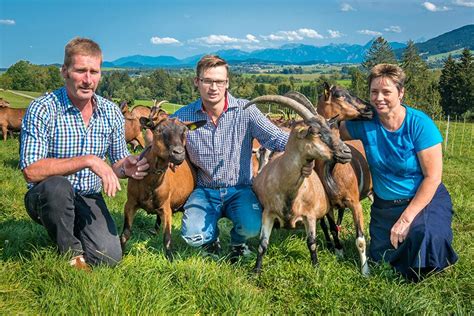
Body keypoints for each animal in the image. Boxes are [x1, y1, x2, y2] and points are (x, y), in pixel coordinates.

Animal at [119, 110, 205, 260]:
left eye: (185, 131)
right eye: (158, 130)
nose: (178, 153)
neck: (150, 183)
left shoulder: (166, 208)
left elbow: (167, 238)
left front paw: (170, 259)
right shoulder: (130, 203)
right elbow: (125, 234)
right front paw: (120, 257)